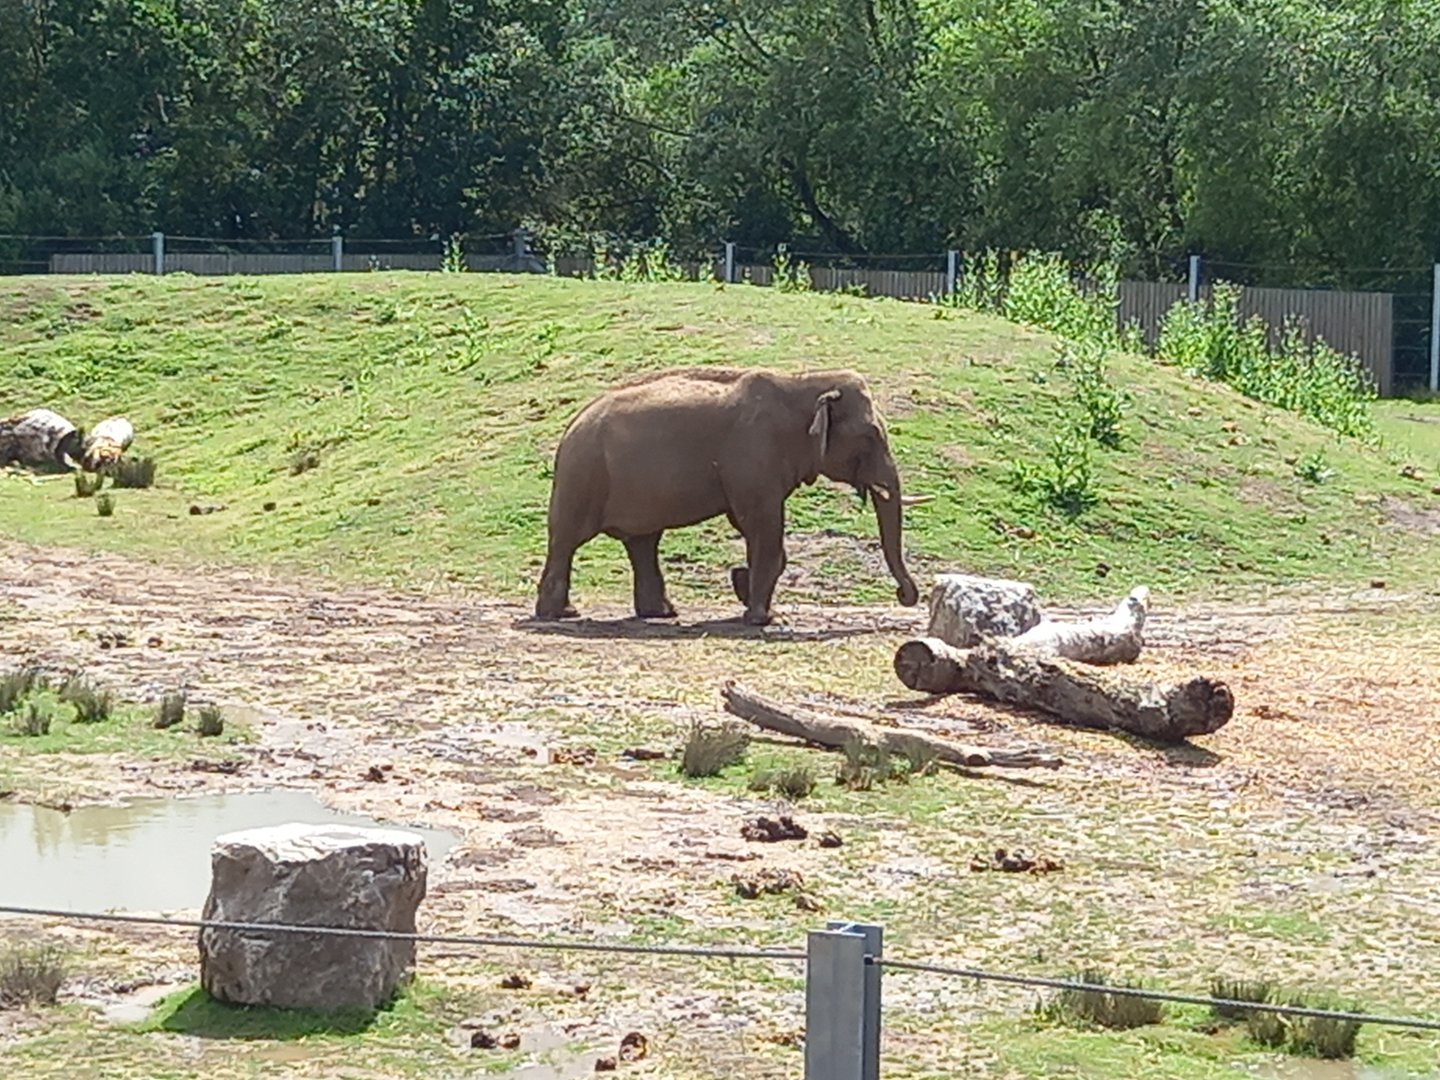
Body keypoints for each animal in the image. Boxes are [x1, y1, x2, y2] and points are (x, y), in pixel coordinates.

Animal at [533, 365, 923, 625]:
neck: (802, 381)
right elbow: (761, 524)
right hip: (583, 478)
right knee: (567, 540)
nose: (903, 595)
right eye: (871, 436)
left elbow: (752, 526)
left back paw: (660, 613)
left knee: (642, 543)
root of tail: (572, 425)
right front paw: (763, 617)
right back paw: (561, 614)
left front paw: (743, 588)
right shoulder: (754, 459)